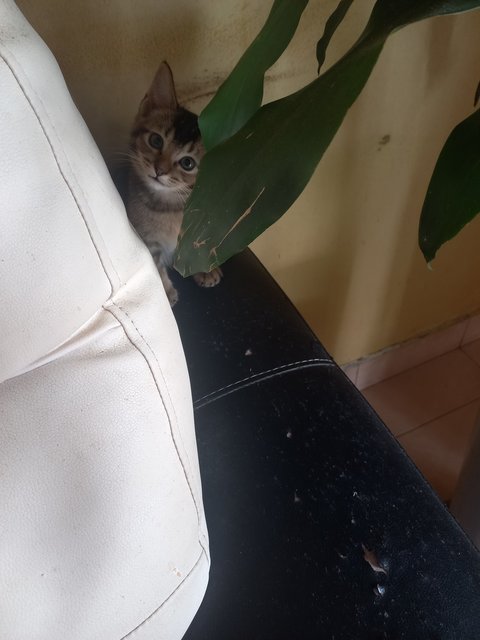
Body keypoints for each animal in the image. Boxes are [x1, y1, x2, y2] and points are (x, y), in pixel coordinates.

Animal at [124, 61, 221, 306]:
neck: (171, 208)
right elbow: (155, 264)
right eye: (156, 141)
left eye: (188, 163)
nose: (159, 170)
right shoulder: (147, 239)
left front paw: (204, 269)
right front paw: (165, 292)